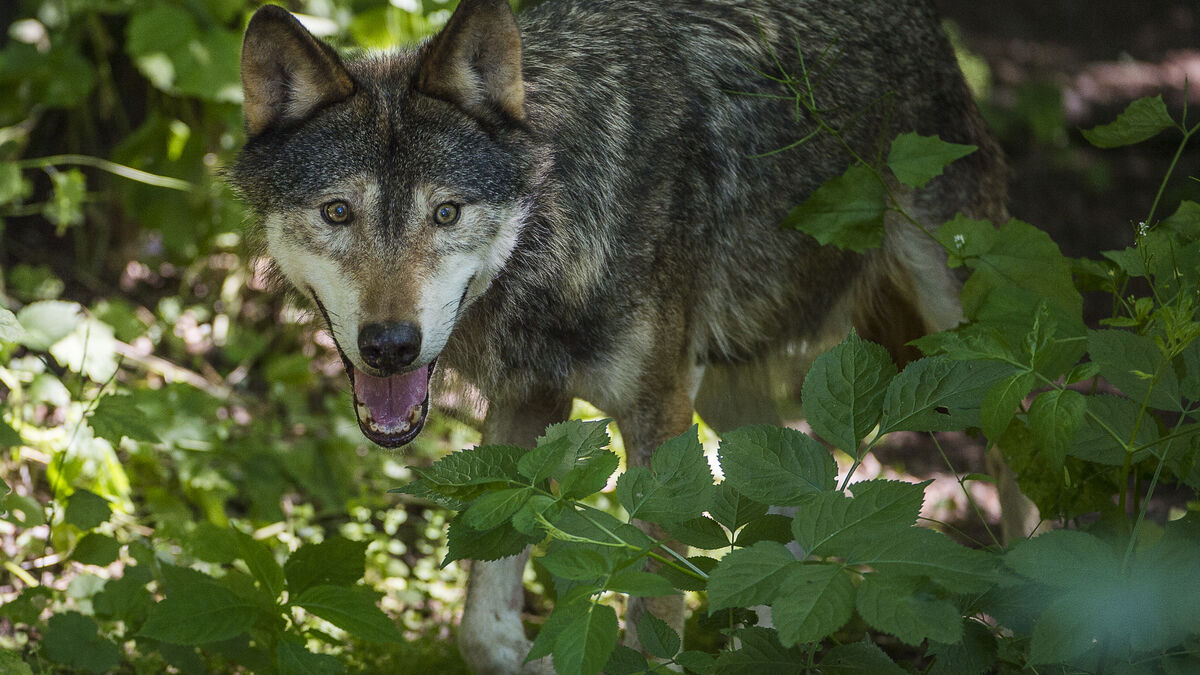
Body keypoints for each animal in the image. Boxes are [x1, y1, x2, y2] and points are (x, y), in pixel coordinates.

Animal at [232, 0, 1022, 670]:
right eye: (338, 212)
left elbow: (653, 622)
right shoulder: (532, 401)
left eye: (446, 212)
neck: (560, 222)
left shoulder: (659, 418)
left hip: (971, 341)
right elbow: (482, 629)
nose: (390, 344)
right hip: (731, 400)